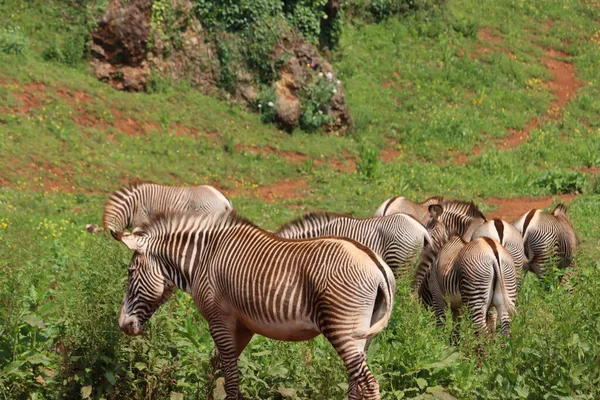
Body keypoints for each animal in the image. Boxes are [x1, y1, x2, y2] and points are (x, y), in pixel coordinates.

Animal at [115, 211, 396, 398]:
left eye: (130, 272)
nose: (123, 325)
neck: (204, 258)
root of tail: (375, 264)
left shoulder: (219, 321)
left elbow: (230, 378)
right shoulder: (243, 327)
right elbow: (217, 370)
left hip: (343, 330)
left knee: (368, 384)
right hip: (364, 336)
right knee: (356, 384)